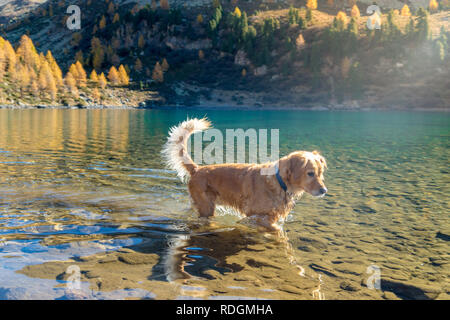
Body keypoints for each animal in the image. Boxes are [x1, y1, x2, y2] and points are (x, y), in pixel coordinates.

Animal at [162, 117, 326, 230]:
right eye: (310, 173)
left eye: (320, 173)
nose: (324, 190)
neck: (280, 183)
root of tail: (198, 169)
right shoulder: (254, 215)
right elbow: (273, 228)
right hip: (206, 207)